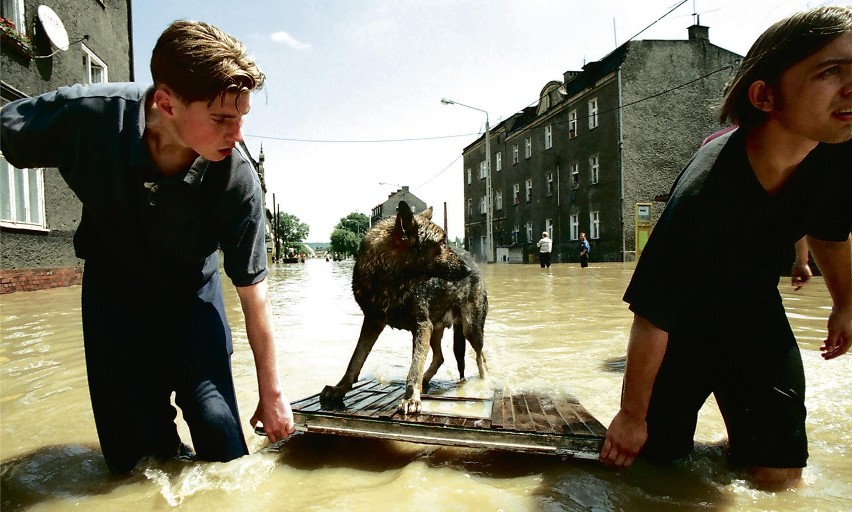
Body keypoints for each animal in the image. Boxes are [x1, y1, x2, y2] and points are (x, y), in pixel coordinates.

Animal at [322, 202, 490, 414]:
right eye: (441, 243)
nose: (467, 270)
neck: (390, 278)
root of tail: (474, 262)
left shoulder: (421, 325)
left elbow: (415, 365)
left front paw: (411, 398)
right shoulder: (373, 322)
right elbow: (355, 359)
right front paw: (340, 388)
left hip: (470, 329)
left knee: (480, 358)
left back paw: (484, 384)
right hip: (435, 329)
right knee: (439, 357)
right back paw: (426, 380)